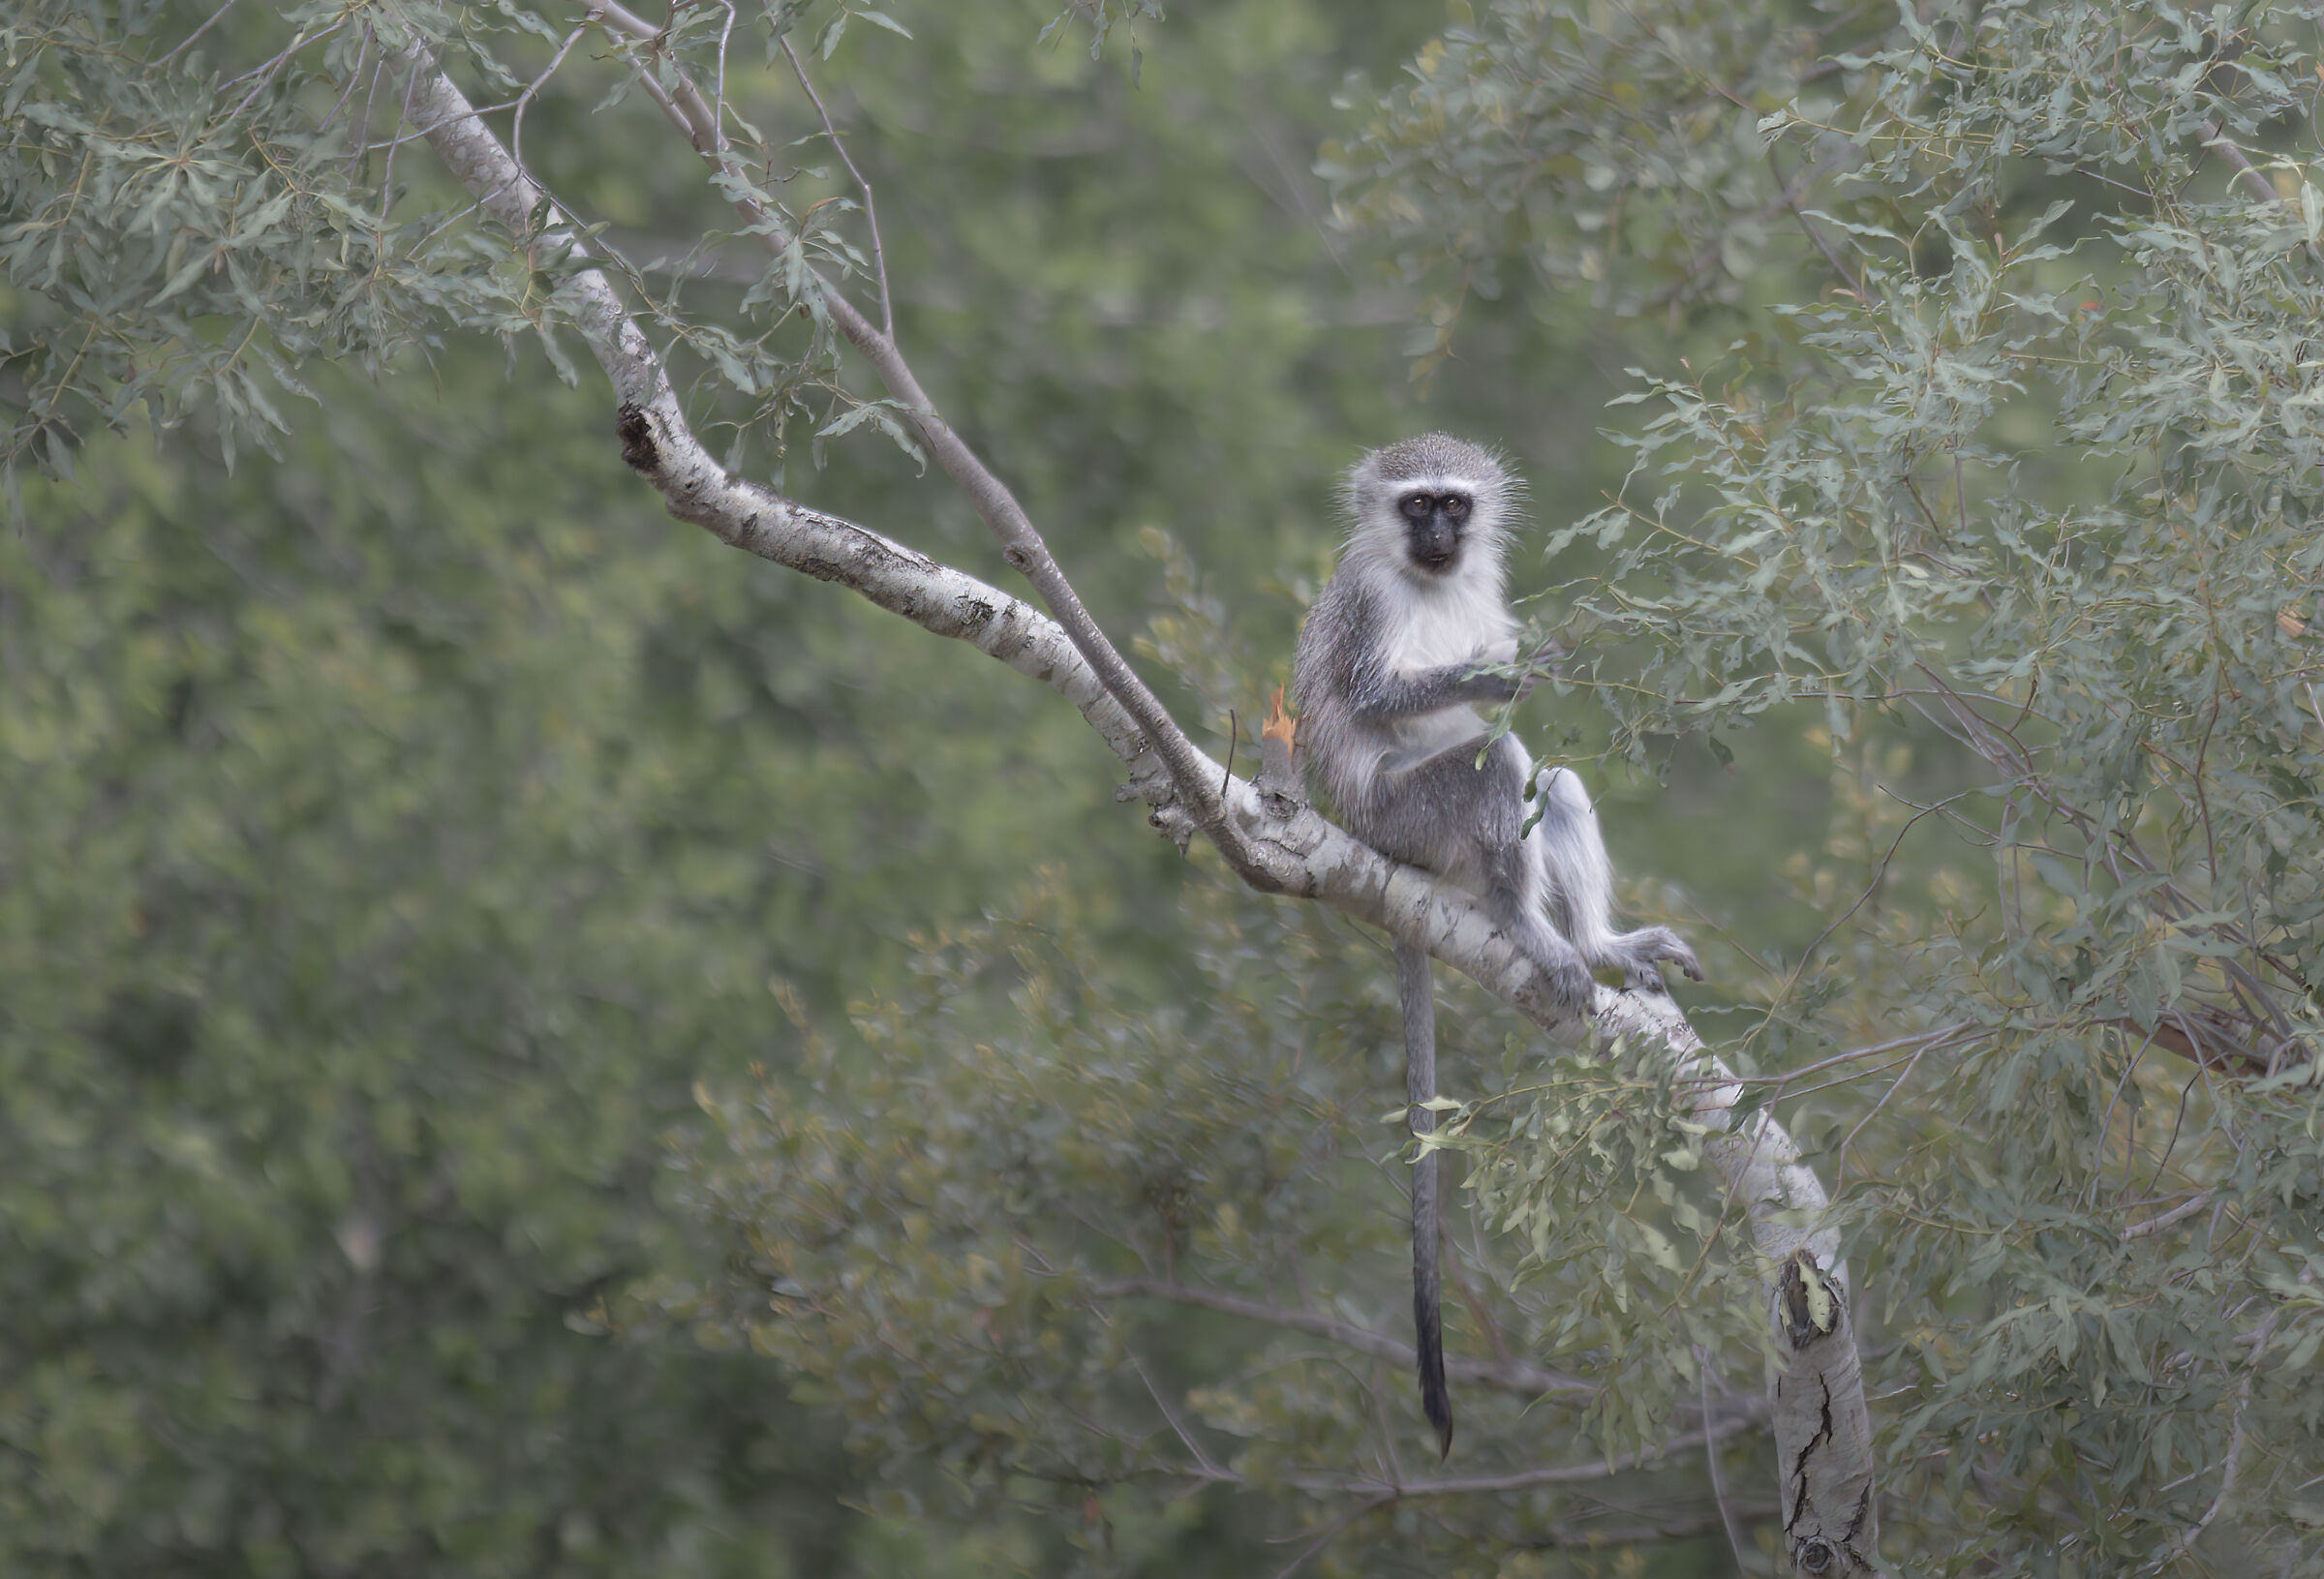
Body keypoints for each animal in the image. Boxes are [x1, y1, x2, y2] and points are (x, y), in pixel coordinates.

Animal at [1290, 433, 1701, 1456]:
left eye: (1455, 505)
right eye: (1416, 505)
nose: (1439, 535)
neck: (1429, 583)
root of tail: (1374, 847)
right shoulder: (1365, 602)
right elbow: (1376, 693)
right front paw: (1498, 675)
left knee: (1547, 779)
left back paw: (1596, 942)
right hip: (1409, 818)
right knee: (1498, 767)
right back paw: (1530, 931)